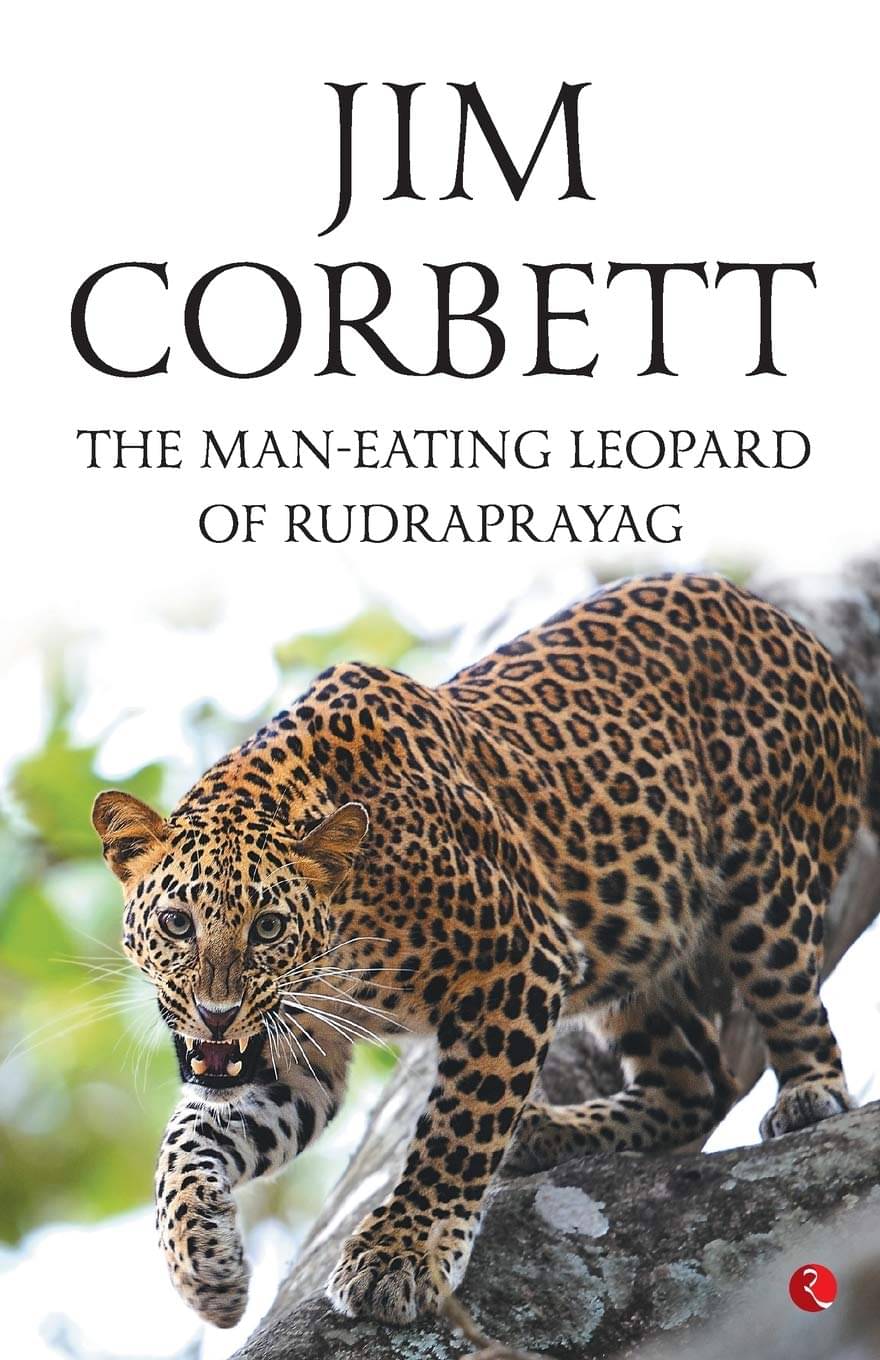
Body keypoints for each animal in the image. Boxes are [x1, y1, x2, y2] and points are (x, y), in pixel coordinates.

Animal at [92, 572, 880, 1330]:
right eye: (176, 923)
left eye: (268, 929)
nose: (216, 1014)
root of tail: (799, 634)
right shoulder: (297, 1051)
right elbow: (188, 1141)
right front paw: (202, 1265)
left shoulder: (519, 958)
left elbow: (459, 1124)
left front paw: (400, 1252)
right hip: (635, 946)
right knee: (697, 1082)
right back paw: (554, 1131)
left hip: (766, 885)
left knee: (792, 1009)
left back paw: (807, 1095)